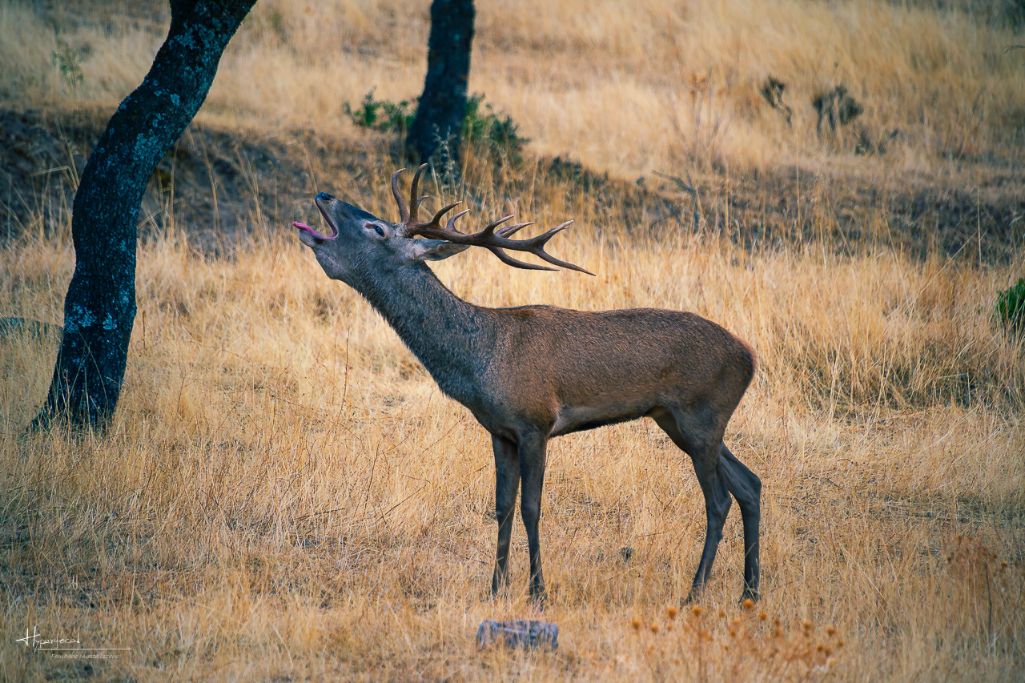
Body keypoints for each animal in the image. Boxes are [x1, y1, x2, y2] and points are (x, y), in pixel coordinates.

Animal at [292, 165, 761, 604]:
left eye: (377, 228)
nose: (325, 193)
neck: (481, 360)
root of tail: (750, 358)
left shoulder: (536, 422)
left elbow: (531, 508)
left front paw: (538, 590)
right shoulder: (500, 431)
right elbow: (502, 507)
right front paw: (495, 587)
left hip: (700, 415)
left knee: (719, 500)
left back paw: (696, 591)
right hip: (680, 421)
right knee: (749, 483)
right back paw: (749, 590)